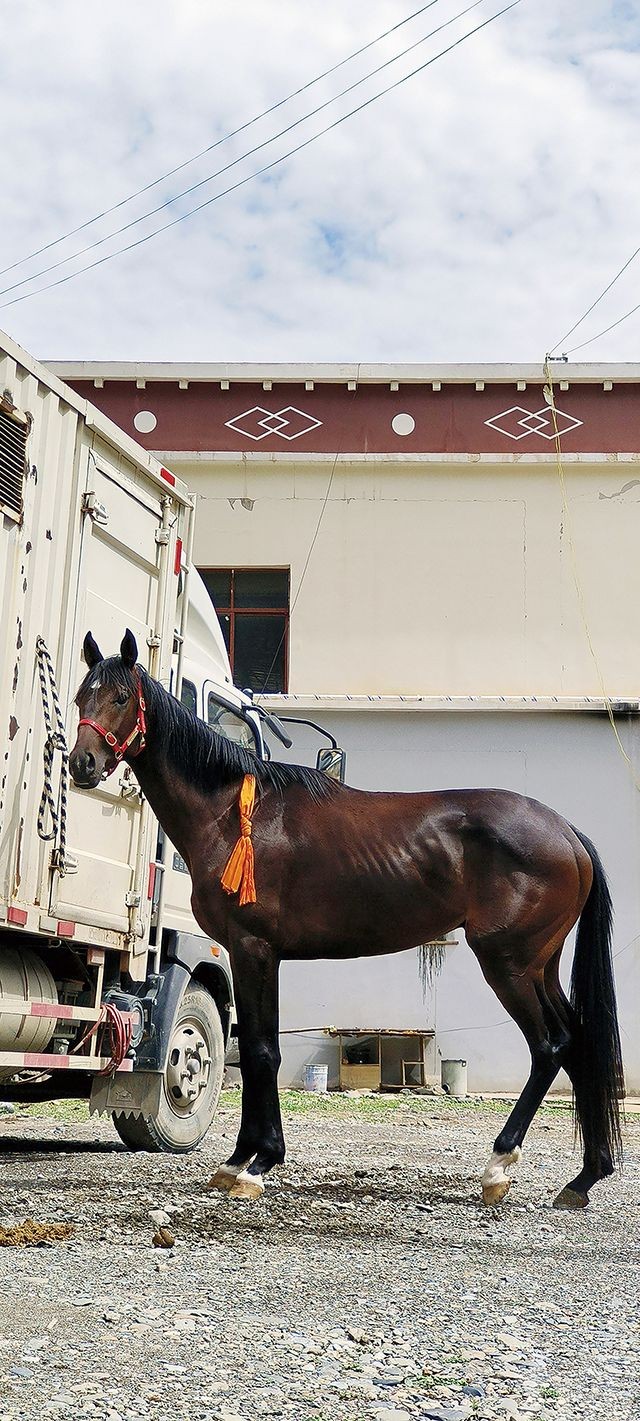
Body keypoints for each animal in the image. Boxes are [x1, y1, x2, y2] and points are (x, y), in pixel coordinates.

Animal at [69, 630, 624, 1210]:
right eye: (82, 694)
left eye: (121, 698)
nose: (81, 763)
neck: (231, 814)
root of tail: (566, 832)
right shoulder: (258, 956)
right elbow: (258, 1051)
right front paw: (244, 1159)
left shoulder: (253, 950)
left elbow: (262, 1053)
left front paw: (255, 1164)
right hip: (539, 965)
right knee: (578, 1040)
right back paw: (584, 1178)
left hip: (508, 965)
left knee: (549, 1045)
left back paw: (499, 1165)